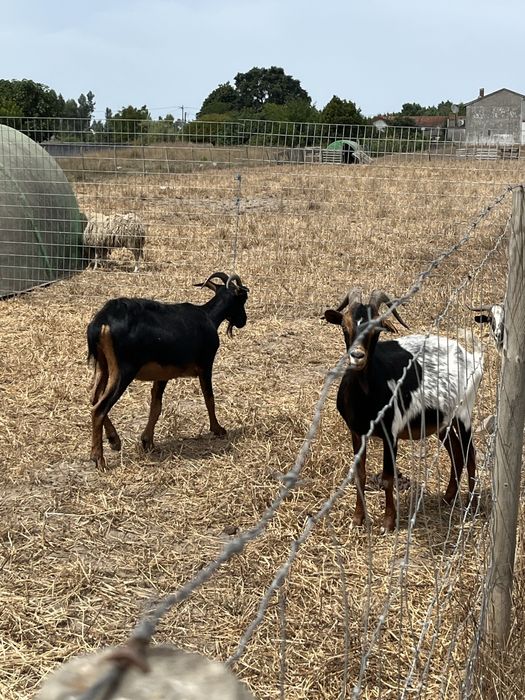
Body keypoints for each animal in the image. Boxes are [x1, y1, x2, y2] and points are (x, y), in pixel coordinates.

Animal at [87, 272, 249, 469]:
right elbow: (209, 398)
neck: (208, 317)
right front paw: (218, 429)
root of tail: (103, 321)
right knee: (100, 408)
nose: (243, 321)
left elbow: (156, 406)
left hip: (102, 366)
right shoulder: (205, 365)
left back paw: (114, 440)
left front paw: (147, 441)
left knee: (94, 399)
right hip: (123, 371)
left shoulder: (162, 374)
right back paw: (98, 458)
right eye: (242, 298)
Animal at [324, 288, 483, 531]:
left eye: (376, 330)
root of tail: (472, 358)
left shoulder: (391, 434)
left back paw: (471, 506)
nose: (357, 356)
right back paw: (448, 498)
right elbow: (360, 475)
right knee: (456, 452)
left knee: (470, 454)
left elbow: (388, 478)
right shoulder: (356, 432)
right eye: (344, 326)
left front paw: (388, 523)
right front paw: (357, 519)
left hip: (464, 413)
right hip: (441, 421)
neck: (365, 400)